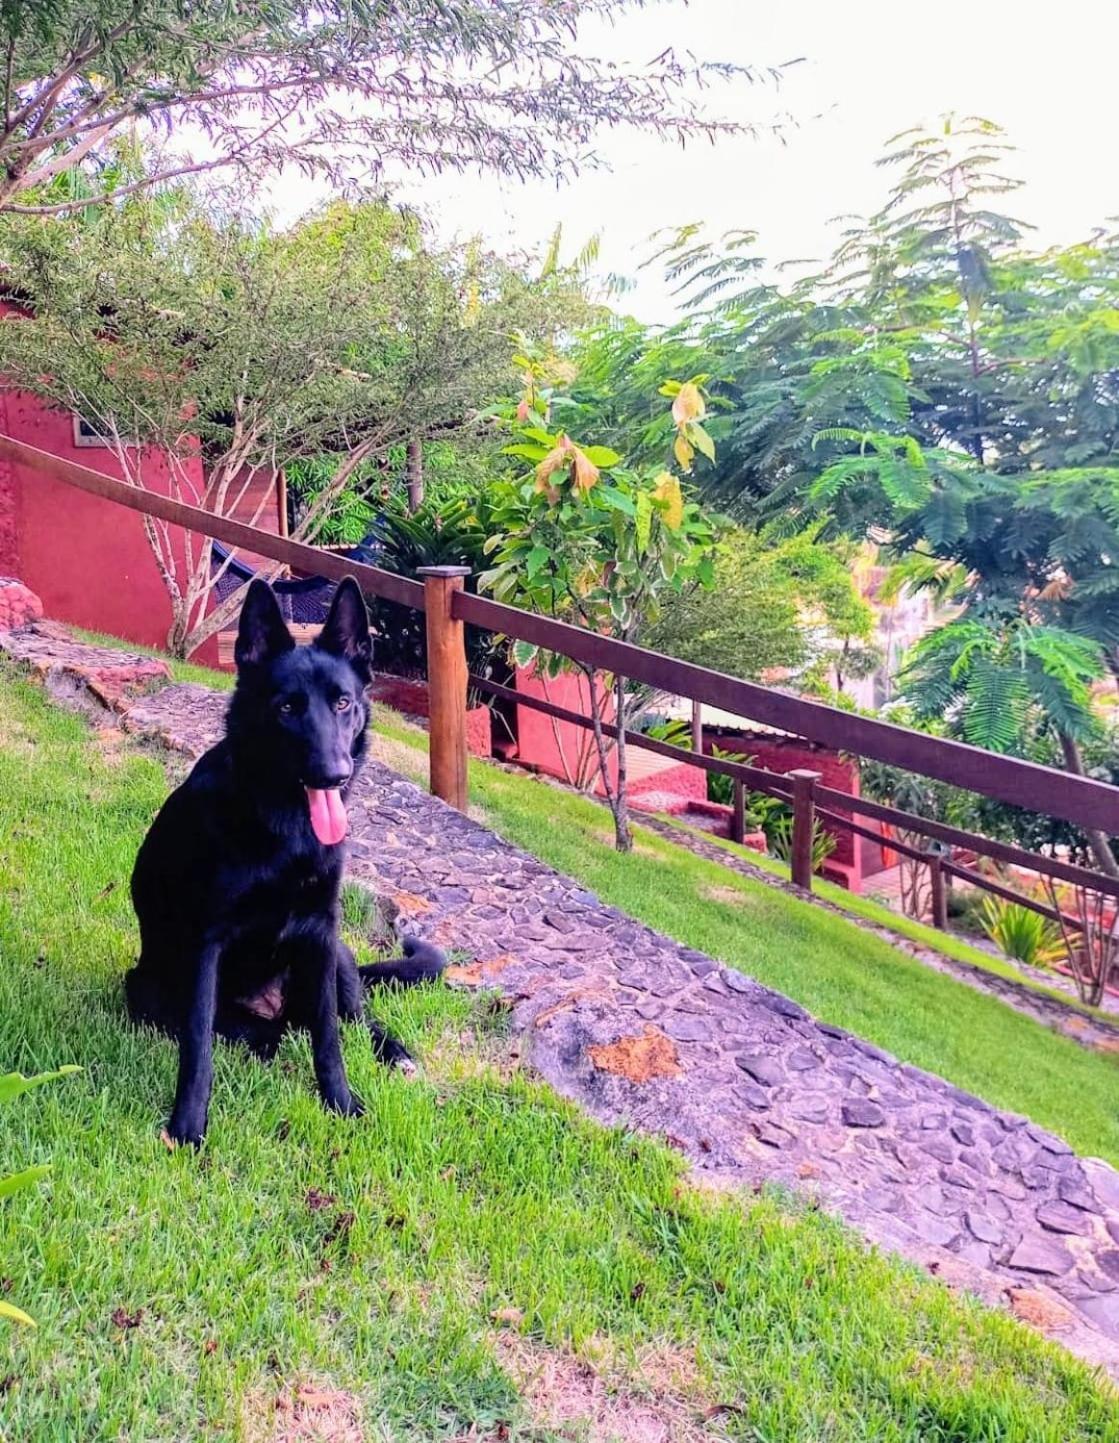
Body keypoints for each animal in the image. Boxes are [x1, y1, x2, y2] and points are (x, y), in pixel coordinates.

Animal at [127, 577, 447, 1148]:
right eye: (286, 708)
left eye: (342, 702)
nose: (334, 775)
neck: (287, 830)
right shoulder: (208, 943)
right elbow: (199, 1047)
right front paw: (187, 1127)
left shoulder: (321, 932)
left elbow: (329, 1039)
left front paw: (341, 1104)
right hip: (144, 988)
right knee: (257, 1032)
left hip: (337, 956)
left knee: (353, 1021)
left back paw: (394, 1053)